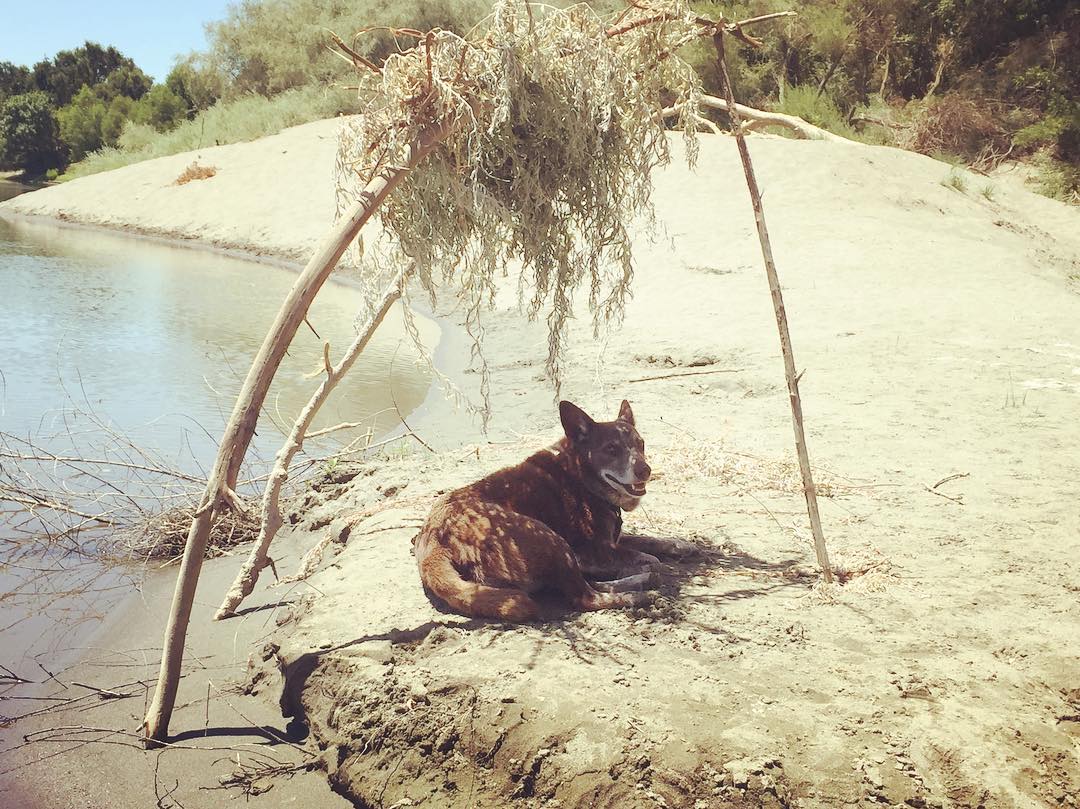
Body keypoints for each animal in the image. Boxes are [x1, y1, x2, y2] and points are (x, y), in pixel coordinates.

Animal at [414, 397, 660, 617]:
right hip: (549, 537)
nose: (645, 470)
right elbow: (648, 557)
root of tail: (433, 542)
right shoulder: (600, 548)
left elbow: (653, 542)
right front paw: (647, 565)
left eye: (641, 444)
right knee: (585, 596)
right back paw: (639, 592)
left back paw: (640, 579)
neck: (580, 474)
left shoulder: (613, 540)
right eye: (611, 449)